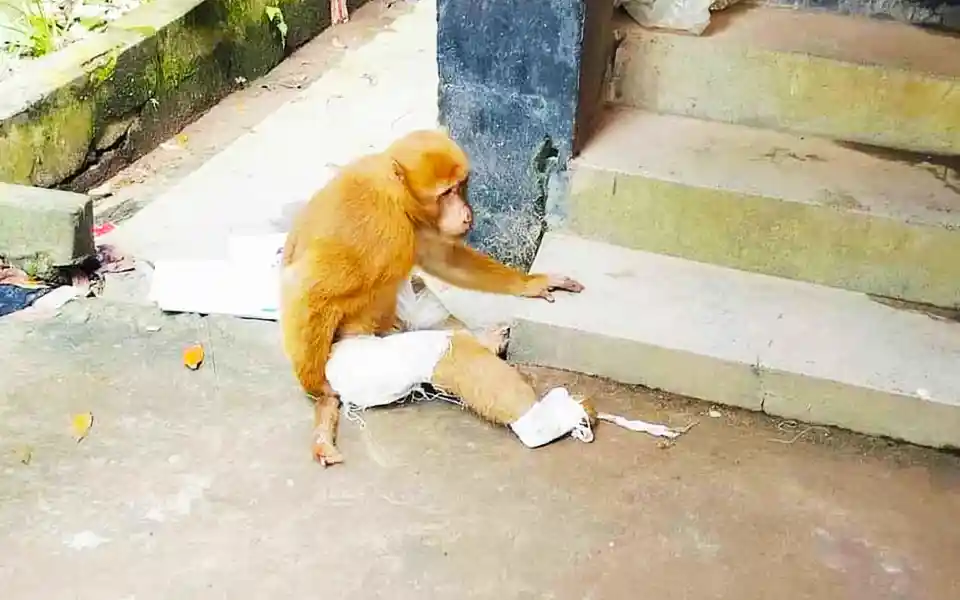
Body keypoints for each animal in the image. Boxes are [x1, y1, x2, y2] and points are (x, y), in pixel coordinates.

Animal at [280, 129, 585, 466]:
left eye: (460, 186)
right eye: (445, 193)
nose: (465, 214)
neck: (398, 193)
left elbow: (442, 258)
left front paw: (531, 283)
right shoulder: (376, 222)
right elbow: (306, 291)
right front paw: (319, 389)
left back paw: (488, 340)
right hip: (357, 365)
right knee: (448, 351)